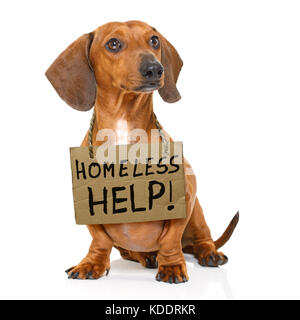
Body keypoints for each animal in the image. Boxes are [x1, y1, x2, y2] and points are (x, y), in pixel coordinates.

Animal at [45, 21, 238, 284]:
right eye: (113, 44)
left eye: (154, 40)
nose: (155, 69)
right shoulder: (87, 204)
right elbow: (100, 240)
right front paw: (92, 263)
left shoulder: (184, 197)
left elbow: (170, 239)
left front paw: (172, 266)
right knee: (130, 252)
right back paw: (146, 256)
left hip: (196, 213)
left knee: (201, 239)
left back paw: (208, 253)